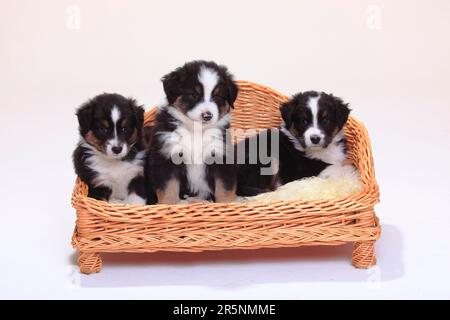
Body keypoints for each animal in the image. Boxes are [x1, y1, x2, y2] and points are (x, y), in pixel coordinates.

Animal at [148, 60, 239, 204]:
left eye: (217, 96)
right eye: (193, 95)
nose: (207, 116)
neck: (196, 130)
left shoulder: (221, 154)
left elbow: (224, 187)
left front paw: (227, 204)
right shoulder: (167, 156)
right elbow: (168, 188)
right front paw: (169, 205)